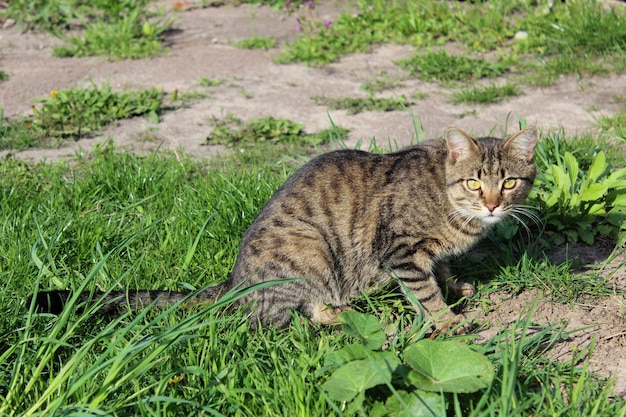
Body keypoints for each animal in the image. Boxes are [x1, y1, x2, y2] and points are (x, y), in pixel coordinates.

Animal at [31, 126, 532, 332]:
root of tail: (235, 280)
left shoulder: (429, 252)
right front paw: (447, 321)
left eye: (508, 182)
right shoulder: (400, 251)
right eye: (474, 183)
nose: (492, 203)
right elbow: (424, 291)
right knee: (295, 316)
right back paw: (363, 318)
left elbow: (440, 271)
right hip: (311, 249)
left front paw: (455, 287)